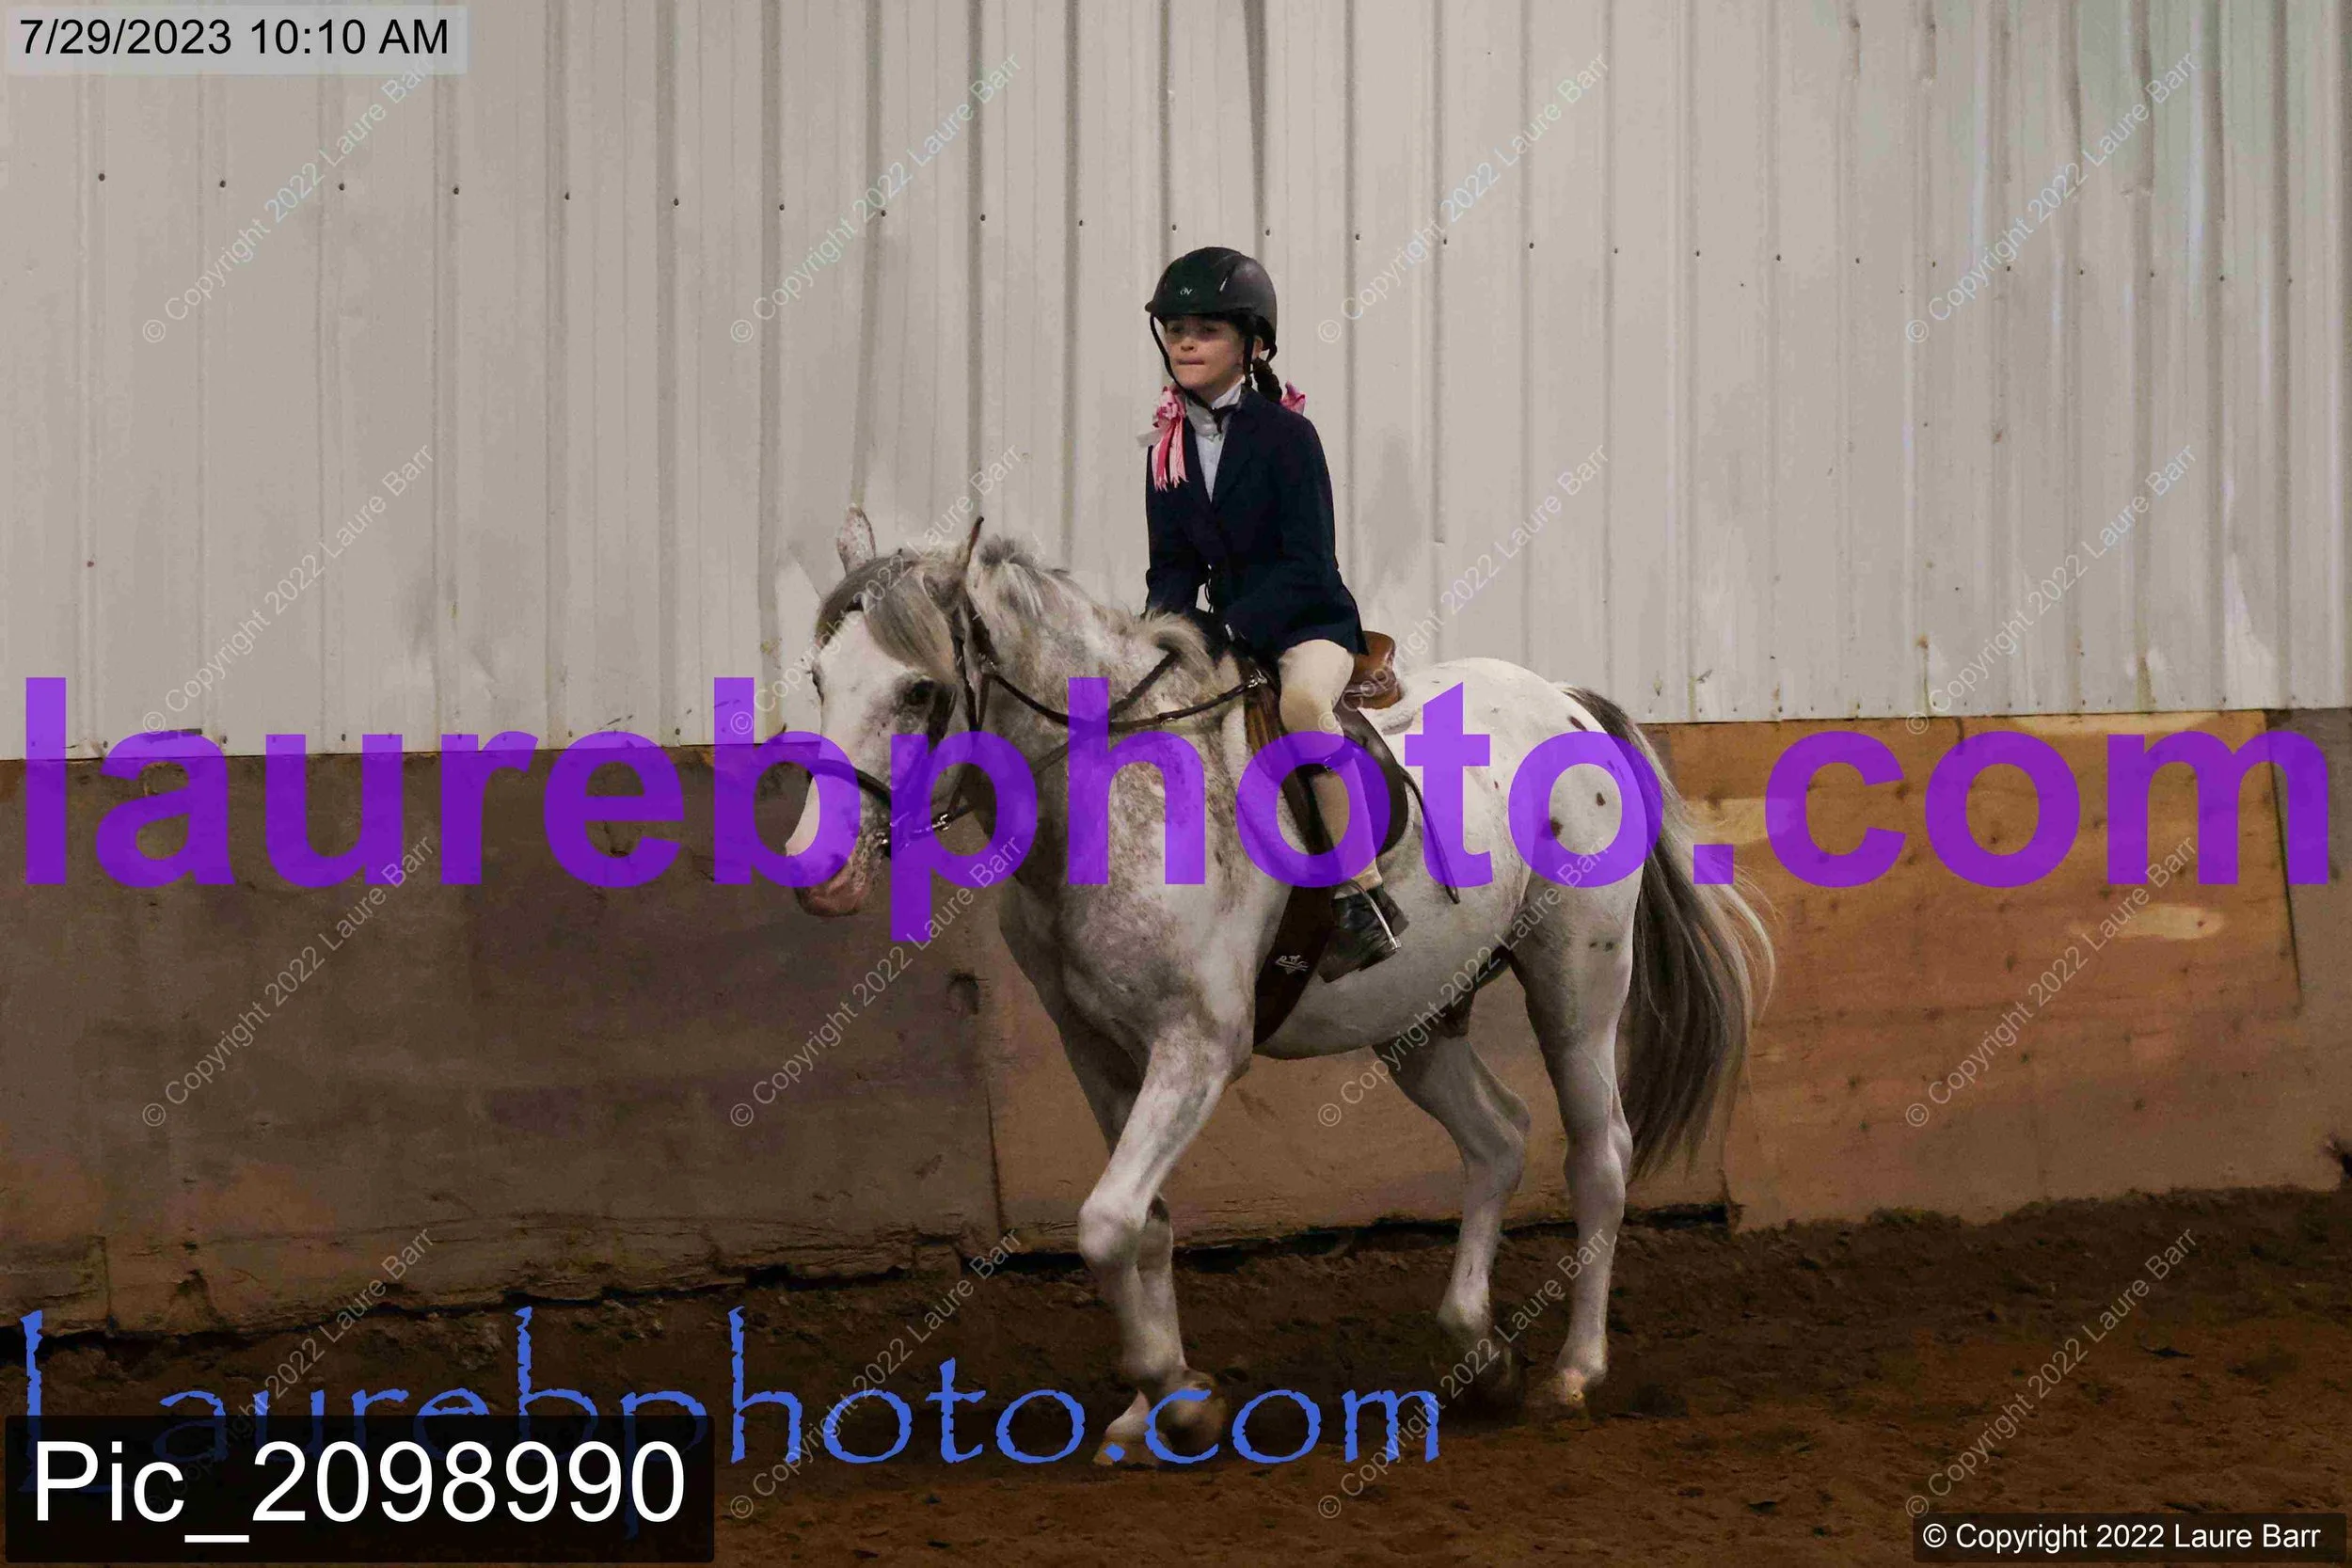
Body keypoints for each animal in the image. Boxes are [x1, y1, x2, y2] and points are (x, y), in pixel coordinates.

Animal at [784, 509, 1773, 1461]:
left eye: (919, 690)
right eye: (820, 678)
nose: (818, 870)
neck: (1116, 795)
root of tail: (1566, 702)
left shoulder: (1195, 1050)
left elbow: (1105, 1220)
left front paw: (1181, 1404)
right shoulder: (1097, 1052)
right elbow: (1143, 1223)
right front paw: (1149, 1413)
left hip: (1577, 986)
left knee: (1598, 1151)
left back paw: (1572, 1371)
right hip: (1417, 1017)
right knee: (1499, 1137)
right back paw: (1481, 1353)